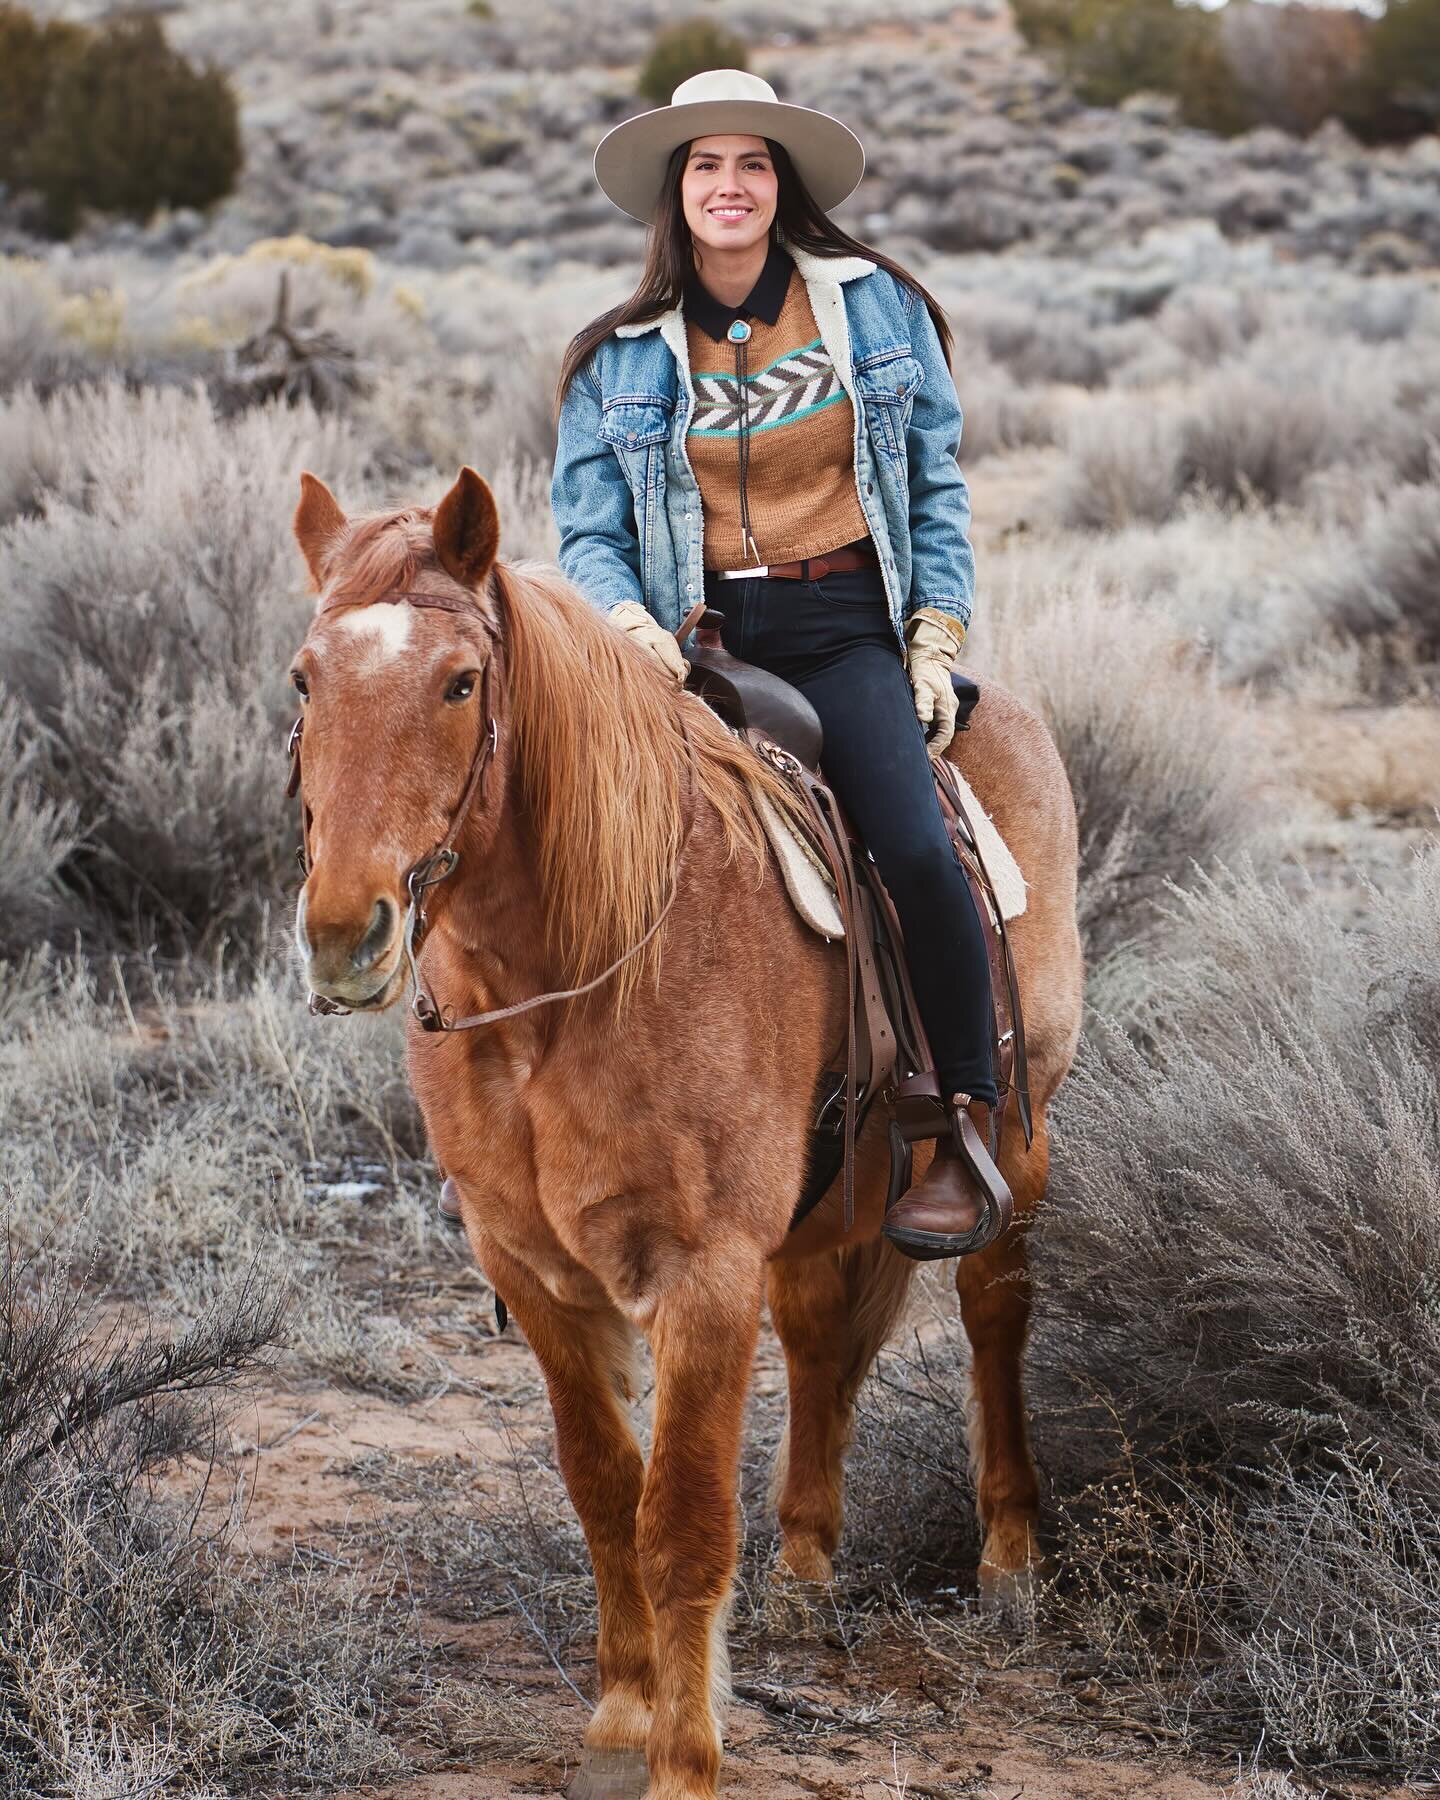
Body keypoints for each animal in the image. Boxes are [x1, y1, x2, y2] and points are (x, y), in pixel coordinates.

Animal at [289, 468, 1080, 1800]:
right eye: (304, 680)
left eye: (460, 682)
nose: (348, 935)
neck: (570, 988)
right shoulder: (537, 1276)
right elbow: (606, 1493)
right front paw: (619, 1720)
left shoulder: (705, 1277)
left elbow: (685, 1523)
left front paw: (683, 1758)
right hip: (827, 1197)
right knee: (818, 1347)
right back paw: (806, 1569)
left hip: (1016, 1147)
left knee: (994, 1316)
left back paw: (1013, 1561)